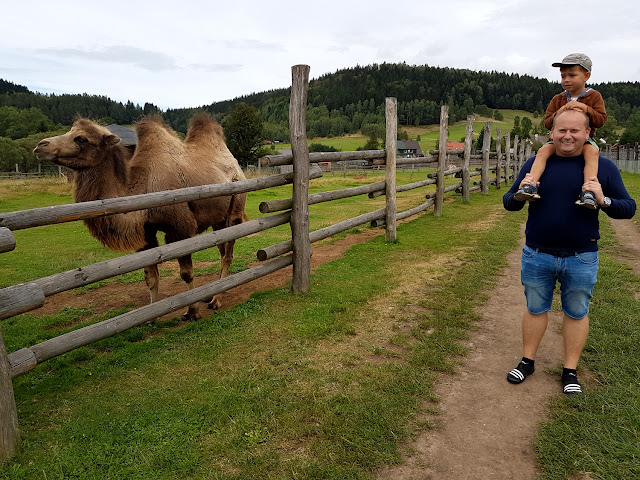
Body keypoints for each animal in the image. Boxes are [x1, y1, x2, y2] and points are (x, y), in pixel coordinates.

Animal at [32, 114, 248, 320]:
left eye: (81, 138)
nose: (40, 145)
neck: (142, 187)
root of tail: (237, 168)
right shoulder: (146, 233)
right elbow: (150, 277)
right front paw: (151, 316)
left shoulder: (179, 229)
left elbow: (186, 274)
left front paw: (192, 311)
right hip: (217, 220)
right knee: (221, 249)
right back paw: (214, 293)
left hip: (235, 207)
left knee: (227, 254)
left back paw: (217, 300)